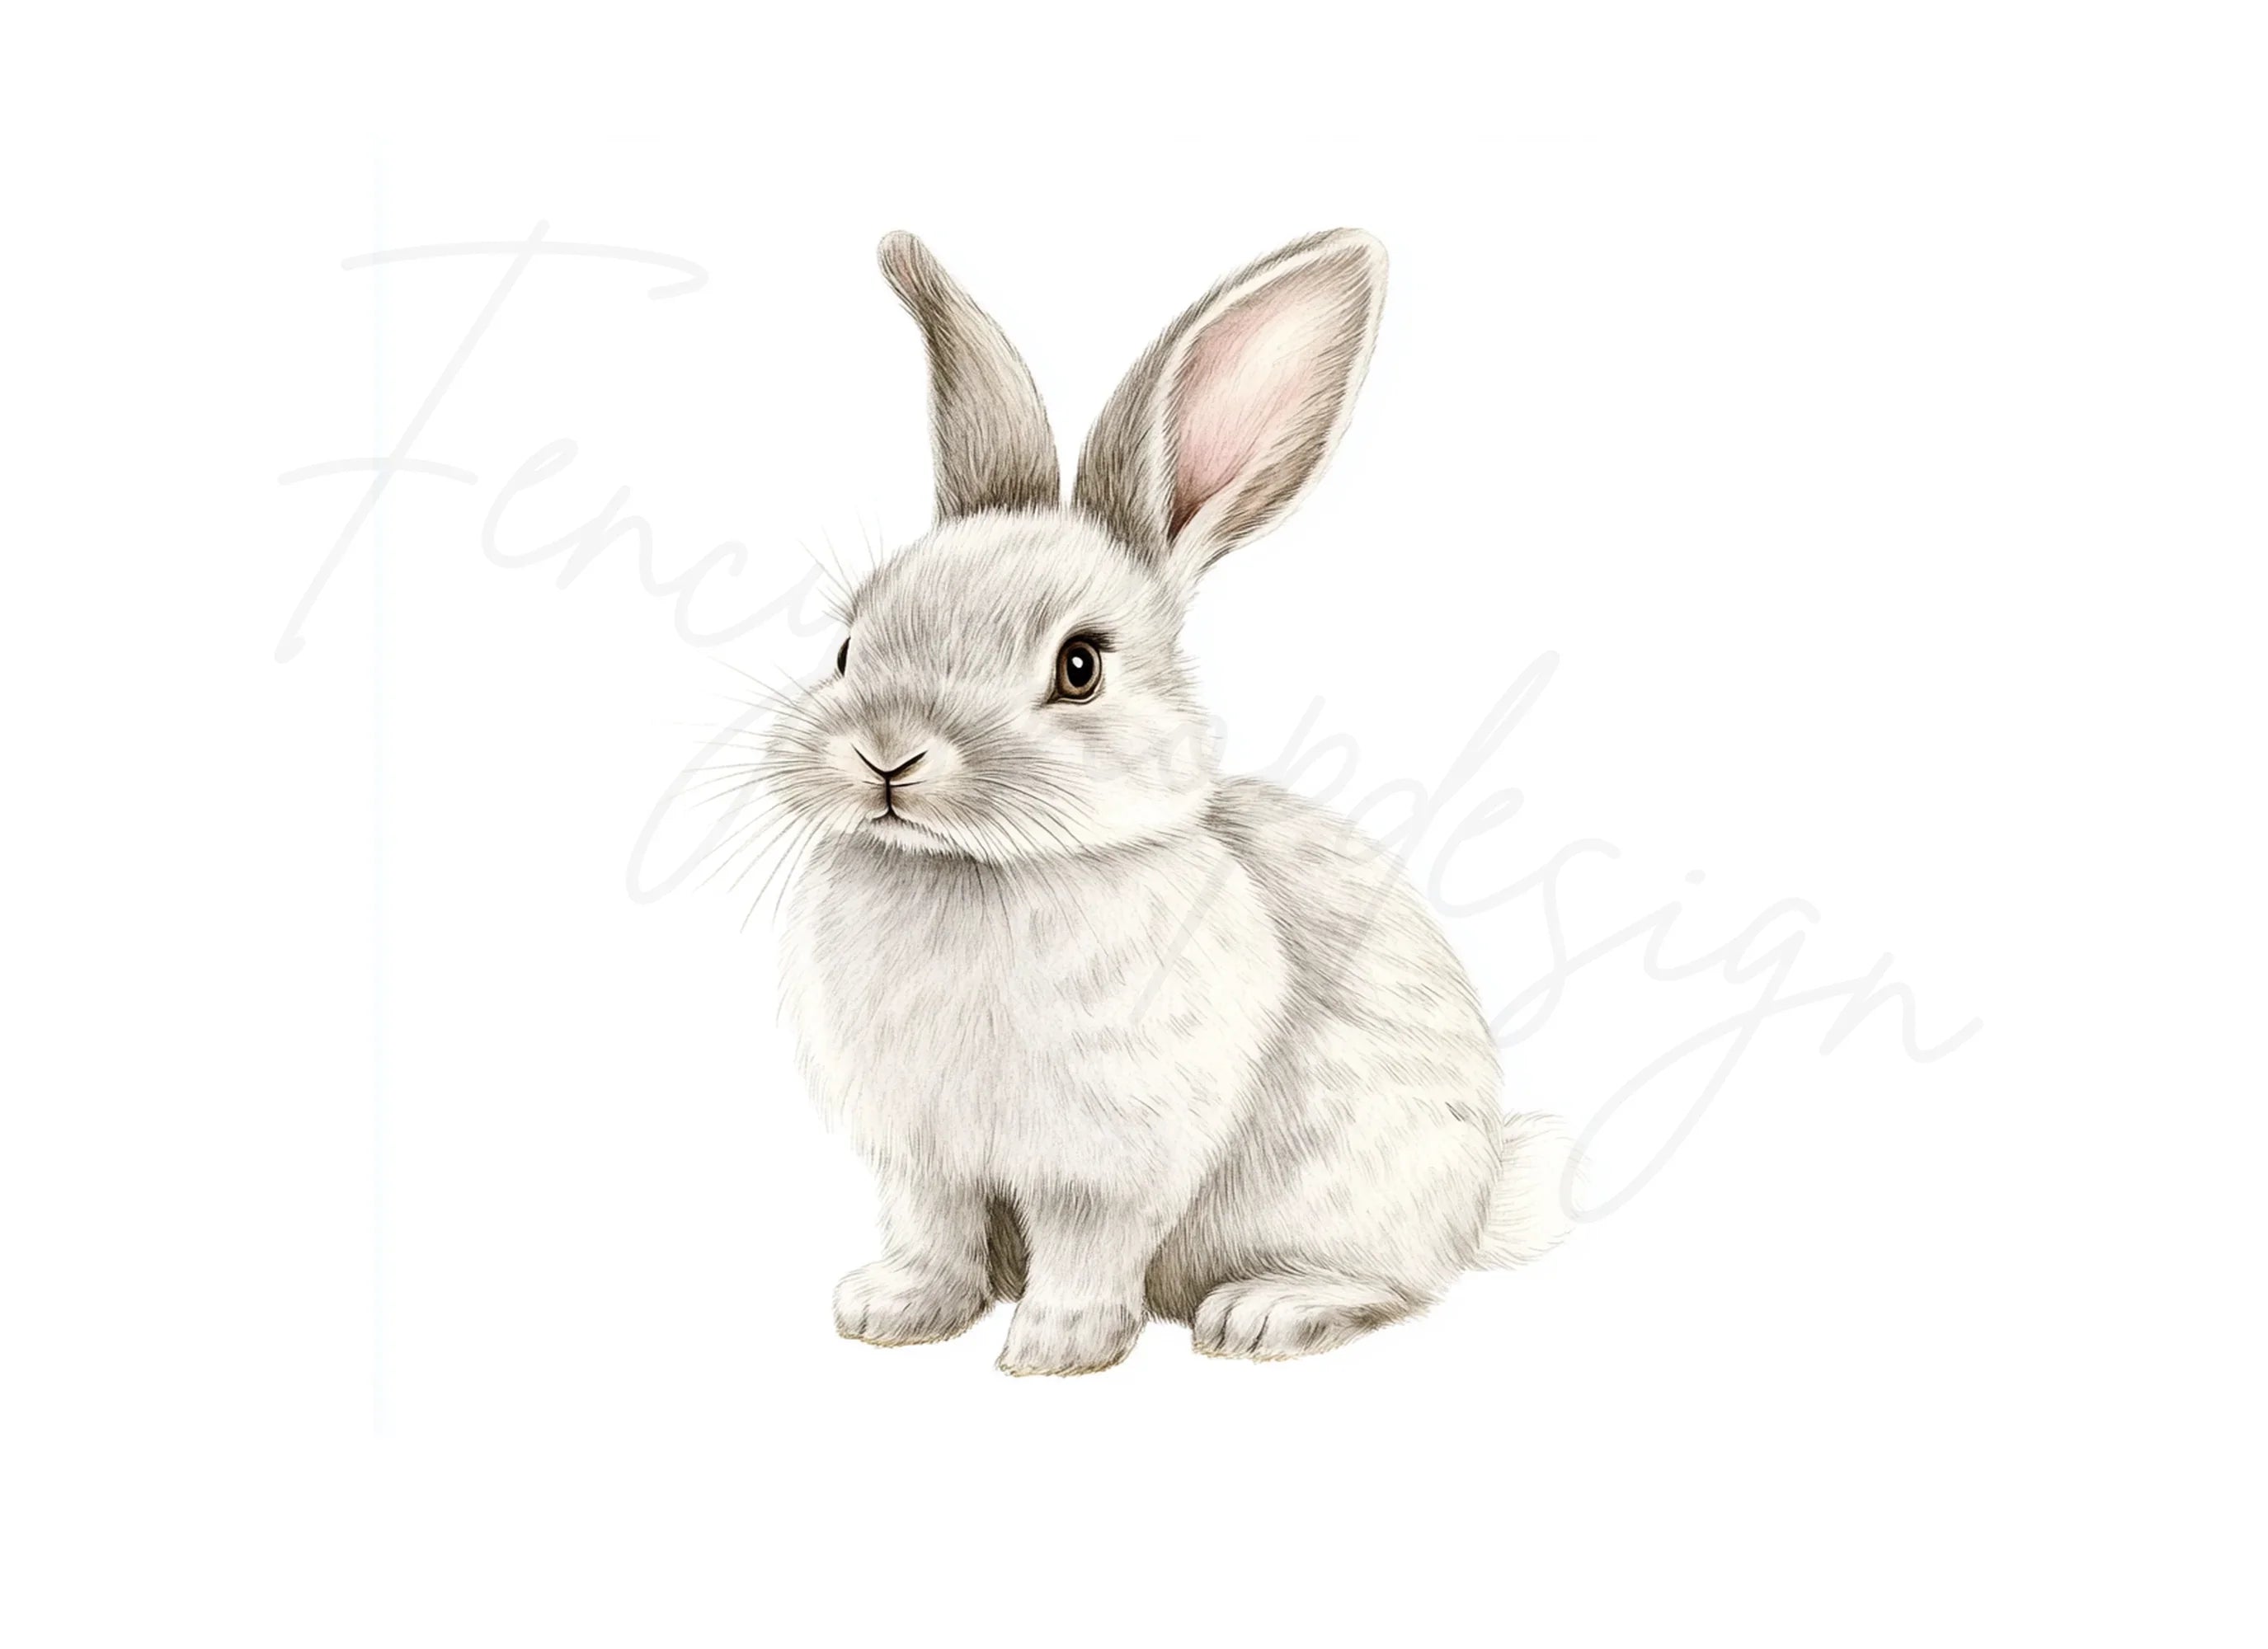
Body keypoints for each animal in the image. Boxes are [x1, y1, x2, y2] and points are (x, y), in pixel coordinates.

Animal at [760, 228, 1575, 1376]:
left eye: (1080, 667)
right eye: (845, 646)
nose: (886, 754)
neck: (981, 868)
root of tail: (1479, 1204)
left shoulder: (1111, 1160)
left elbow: (1089, 1242)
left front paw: (1055, 1345)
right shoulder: (923, 1155)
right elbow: (935, 1228)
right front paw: (892, 1310)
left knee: (1395, 1284)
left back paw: (1264, 1312)